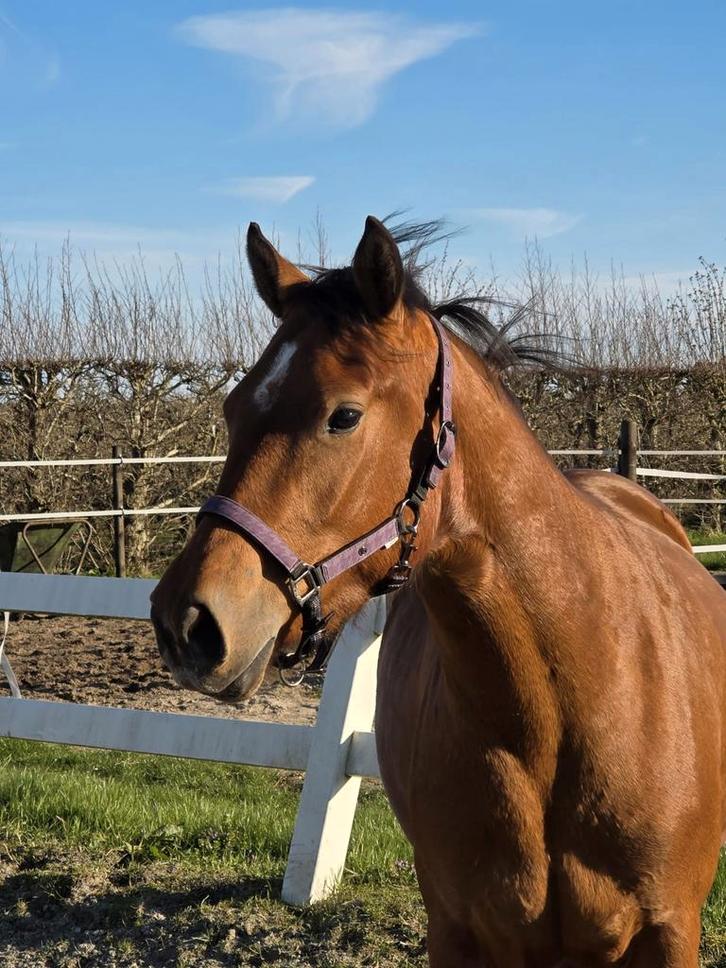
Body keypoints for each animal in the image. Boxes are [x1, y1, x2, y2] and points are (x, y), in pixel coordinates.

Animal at [150, 216, 726, 967]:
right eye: (233, 406)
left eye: (343, 416)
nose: (186, 623)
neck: (569, 709)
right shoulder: (456, 930)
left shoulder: (669, 930)